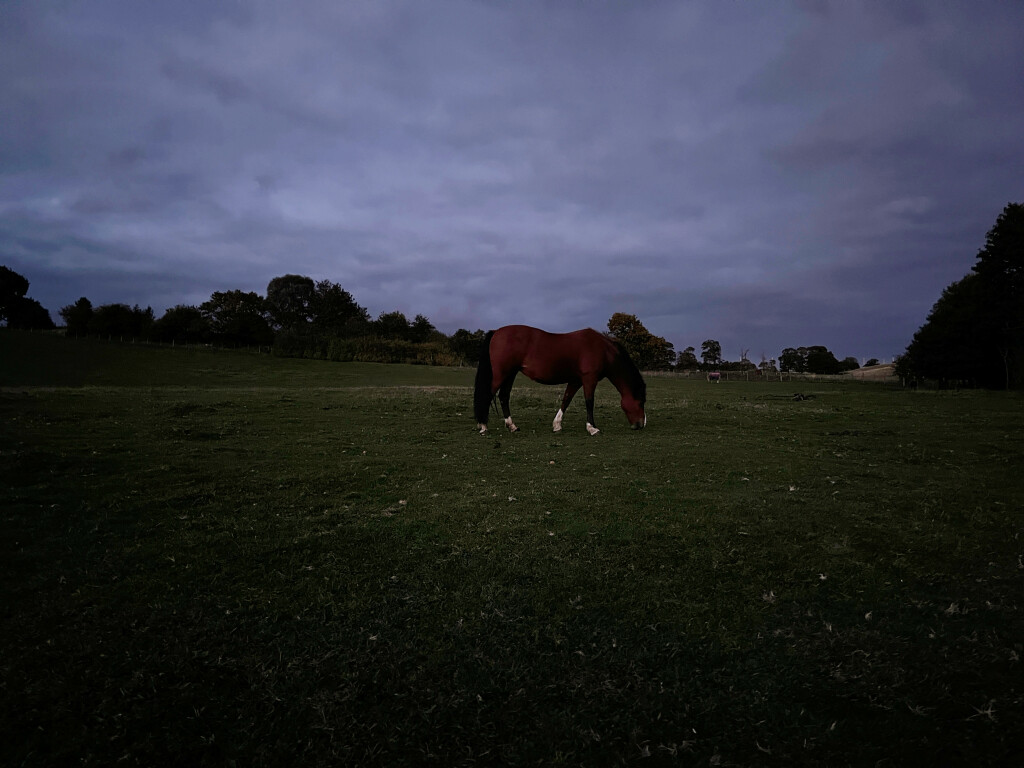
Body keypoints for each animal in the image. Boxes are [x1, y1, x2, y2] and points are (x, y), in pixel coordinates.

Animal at [473, 325, 646, 435]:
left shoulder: (576, 380)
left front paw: (557, 425)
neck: (603, 350)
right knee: (488, 395)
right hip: (502, 375)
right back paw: (483, 426)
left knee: (503, 396)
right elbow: (589, 402)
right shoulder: (589, 379)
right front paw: (592, 428)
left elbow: (566, 399)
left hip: (510, 374)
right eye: (641, 402)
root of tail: (497, 332)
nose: (640, 425)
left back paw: (512, 426)